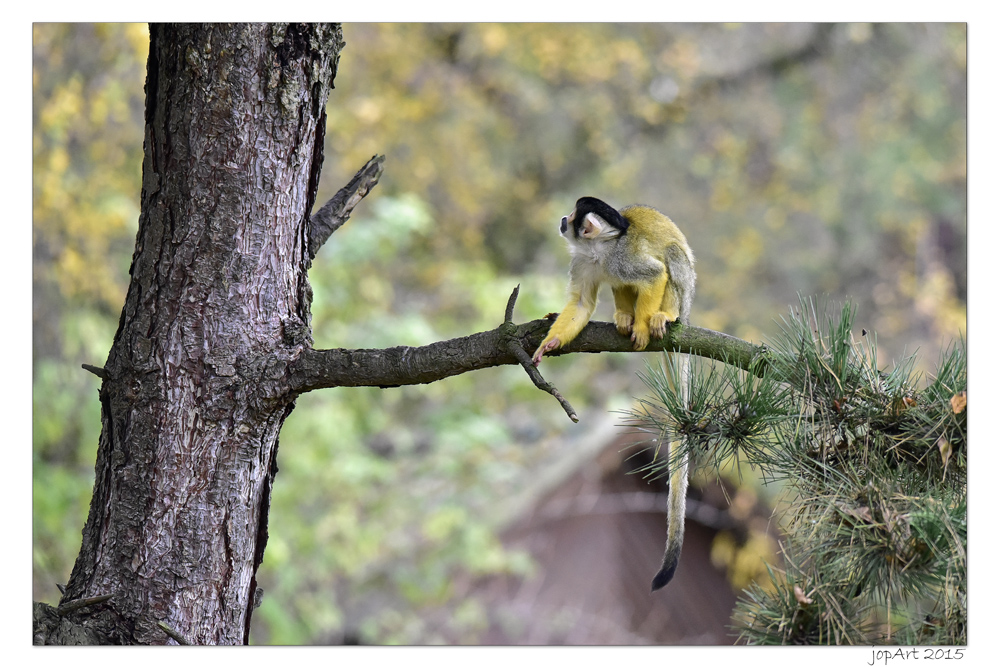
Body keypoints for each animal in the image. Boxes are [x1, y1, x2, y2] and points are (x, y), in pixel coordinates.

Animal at [532, 196, 696, 592]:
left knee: (670, 259)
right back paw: (624, 316)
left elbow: (653, 274)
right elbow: (580, 303)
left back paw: (661, 317)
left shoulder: (621, 258)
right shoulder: (583, 260)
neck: (600, 250)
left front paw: (644, 326)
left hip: (685, 297)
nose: (562, 219)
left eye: (573, 219)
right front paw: (550, 343)